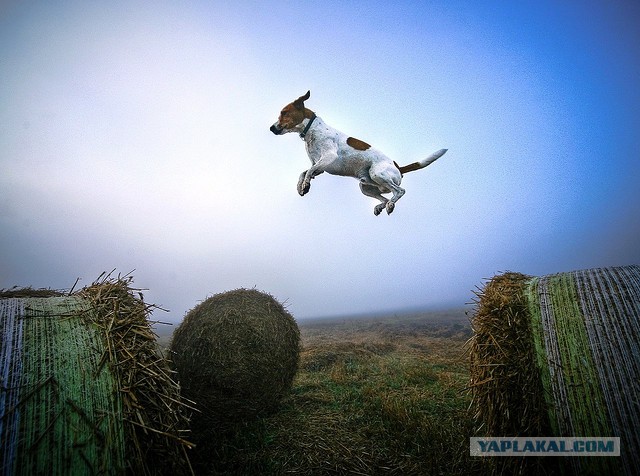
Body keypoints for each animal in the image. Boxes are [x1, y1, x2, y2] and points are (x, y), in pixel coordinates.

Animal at [268, 89, 444, 216]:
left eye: (284, 112)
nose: (271, 128)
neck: (311, 129)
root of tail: (398, 167)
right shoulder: (320, 166)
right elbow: (304, 172)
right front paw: (301, 186)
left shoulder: (328, 158)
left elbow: (308, 171)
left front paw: (305, 184)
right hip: (366, 186)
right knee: (385, 196)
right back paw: (381, 206)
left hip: (377, 174)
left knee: (400, 191)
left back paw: (390, 205)